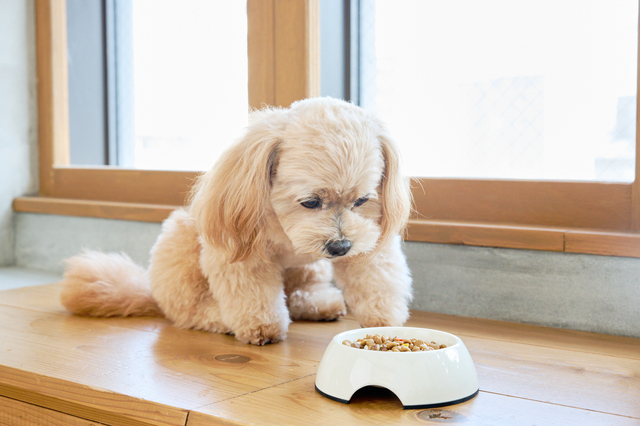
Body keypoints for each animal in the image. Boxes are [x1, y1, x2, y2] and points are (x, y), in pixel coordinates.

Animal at [61, 98, 416, 344]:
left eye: (362, 201)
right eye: (310, 202)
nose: (340, 247)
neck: (286, 229)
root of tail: (150, 292)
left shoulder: (368, 240)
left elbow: (375, 279)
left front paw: (383, 320)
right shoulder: (241, 253)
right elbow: (251, 295)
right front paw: (262, 327)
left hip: (309, 268)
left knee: (299, 293)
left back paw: (319, 303)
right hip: (182, 247)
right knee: (190, 312)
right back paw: (219, 318)